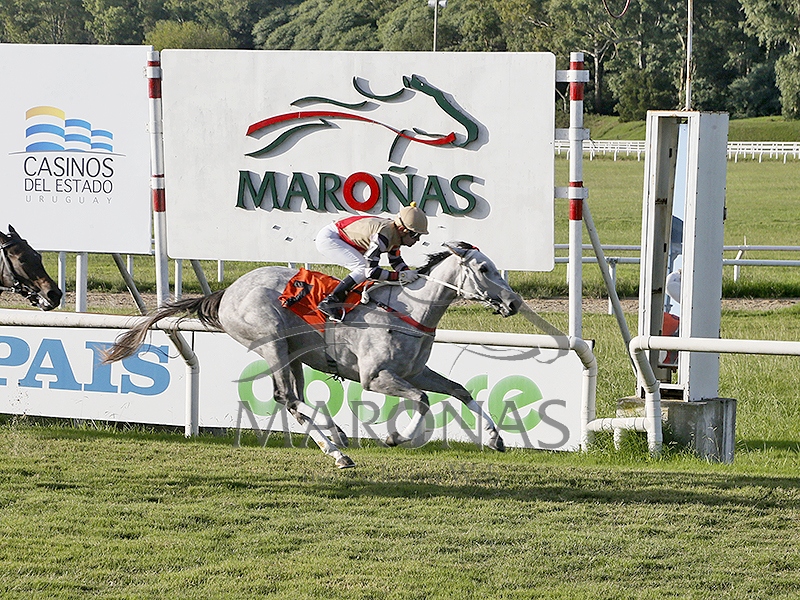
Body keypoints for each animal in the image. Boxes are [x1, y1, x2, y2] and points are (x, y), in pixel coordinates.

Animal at [103, 242, 522, 469]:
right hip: (271, 343)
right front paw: (394, 437)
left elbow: (461, 391)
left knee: (295, 400)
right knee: (285, 397)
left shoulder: (415, 372)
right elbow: (421, 401)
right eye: (484, 269)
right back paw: (336, 447)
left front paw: (495, 439)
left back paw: (335, 440)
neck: (410, 311)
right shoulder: (376, 377)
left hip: (295, 354)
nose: (514, 302)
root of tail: (226, 292)